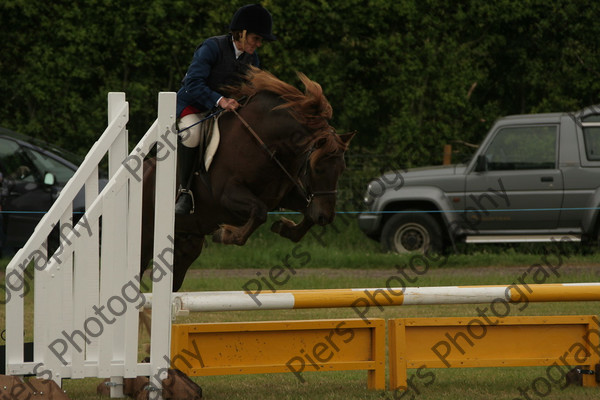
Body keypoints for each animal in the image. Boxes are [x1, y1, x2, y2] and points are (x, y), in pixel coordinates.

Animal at [139, 66, 356, 290]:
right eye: (317, 169)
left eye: (341, 169)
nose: (326, 217)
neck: (266, 142)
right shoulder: (228, 195)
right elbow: (259, 212)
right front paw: (226, 234)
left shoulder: (283, 196)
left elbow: (306, 215)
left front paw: (284, 228)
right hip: (145, 241)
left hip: (186, 244)